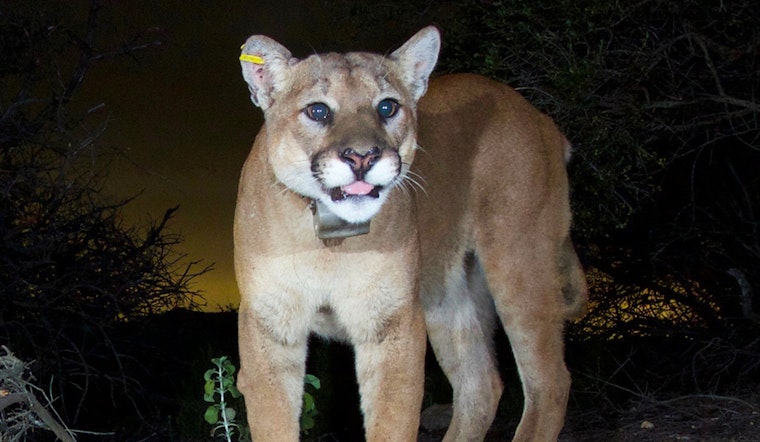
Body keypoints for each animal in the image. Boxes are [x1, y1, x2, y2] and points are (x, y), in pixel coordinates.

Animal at [234, 26, 587, 441]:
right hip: (446, 293)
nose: (362, 157)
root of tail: (540, 116)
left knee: (549, 383)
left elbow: (392, 422)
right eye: (318, 111)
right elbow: (274, 423)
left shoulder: (391, 319)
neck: (330, 240)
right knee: (481, 384)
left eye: (387, 107)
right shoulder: (269, 323)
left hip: (520, 265)